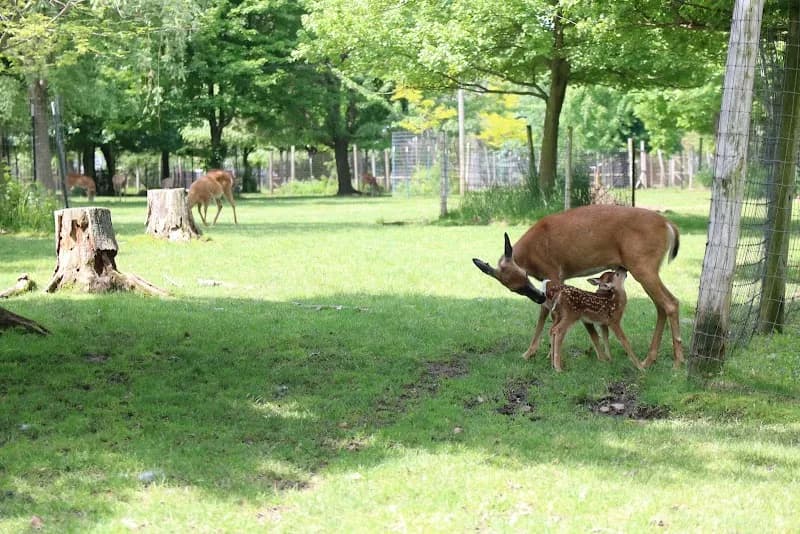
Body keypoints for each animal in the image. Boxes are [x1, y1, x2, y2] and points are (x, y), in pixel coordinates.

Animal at [472, 204, 683, 369]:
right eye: (514, 289)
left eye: (524, 275)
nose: (538, 297)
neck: (531, 253)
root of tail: (669, 225)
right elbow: (547, 315)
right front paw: (531, 354)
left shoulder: (553, 273)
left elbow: (545, 314)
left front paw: (543, 355)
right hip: (646, 268)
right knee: (661, 306)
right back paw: (649, 359)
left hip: (643, 265)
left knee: (670, 303)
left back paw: (677, 363)